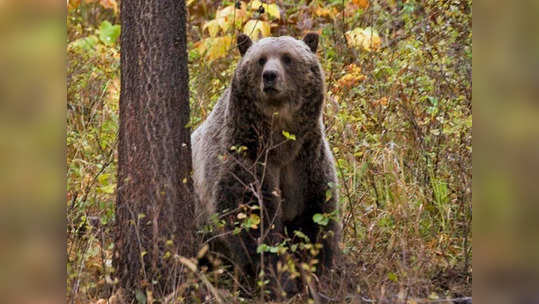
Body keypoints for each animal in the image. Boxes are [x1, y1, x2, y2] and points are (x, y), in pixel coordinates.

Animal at [192, 32, 340, 292]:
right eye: (261, 59)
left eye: (287, 58)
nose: (270, 75)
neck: (280, 143)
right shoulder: (246, 158)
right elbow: (252, 221)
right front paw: (280, 280)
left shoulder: (306, 162)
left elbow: (316, 218)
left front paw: (315, 274)